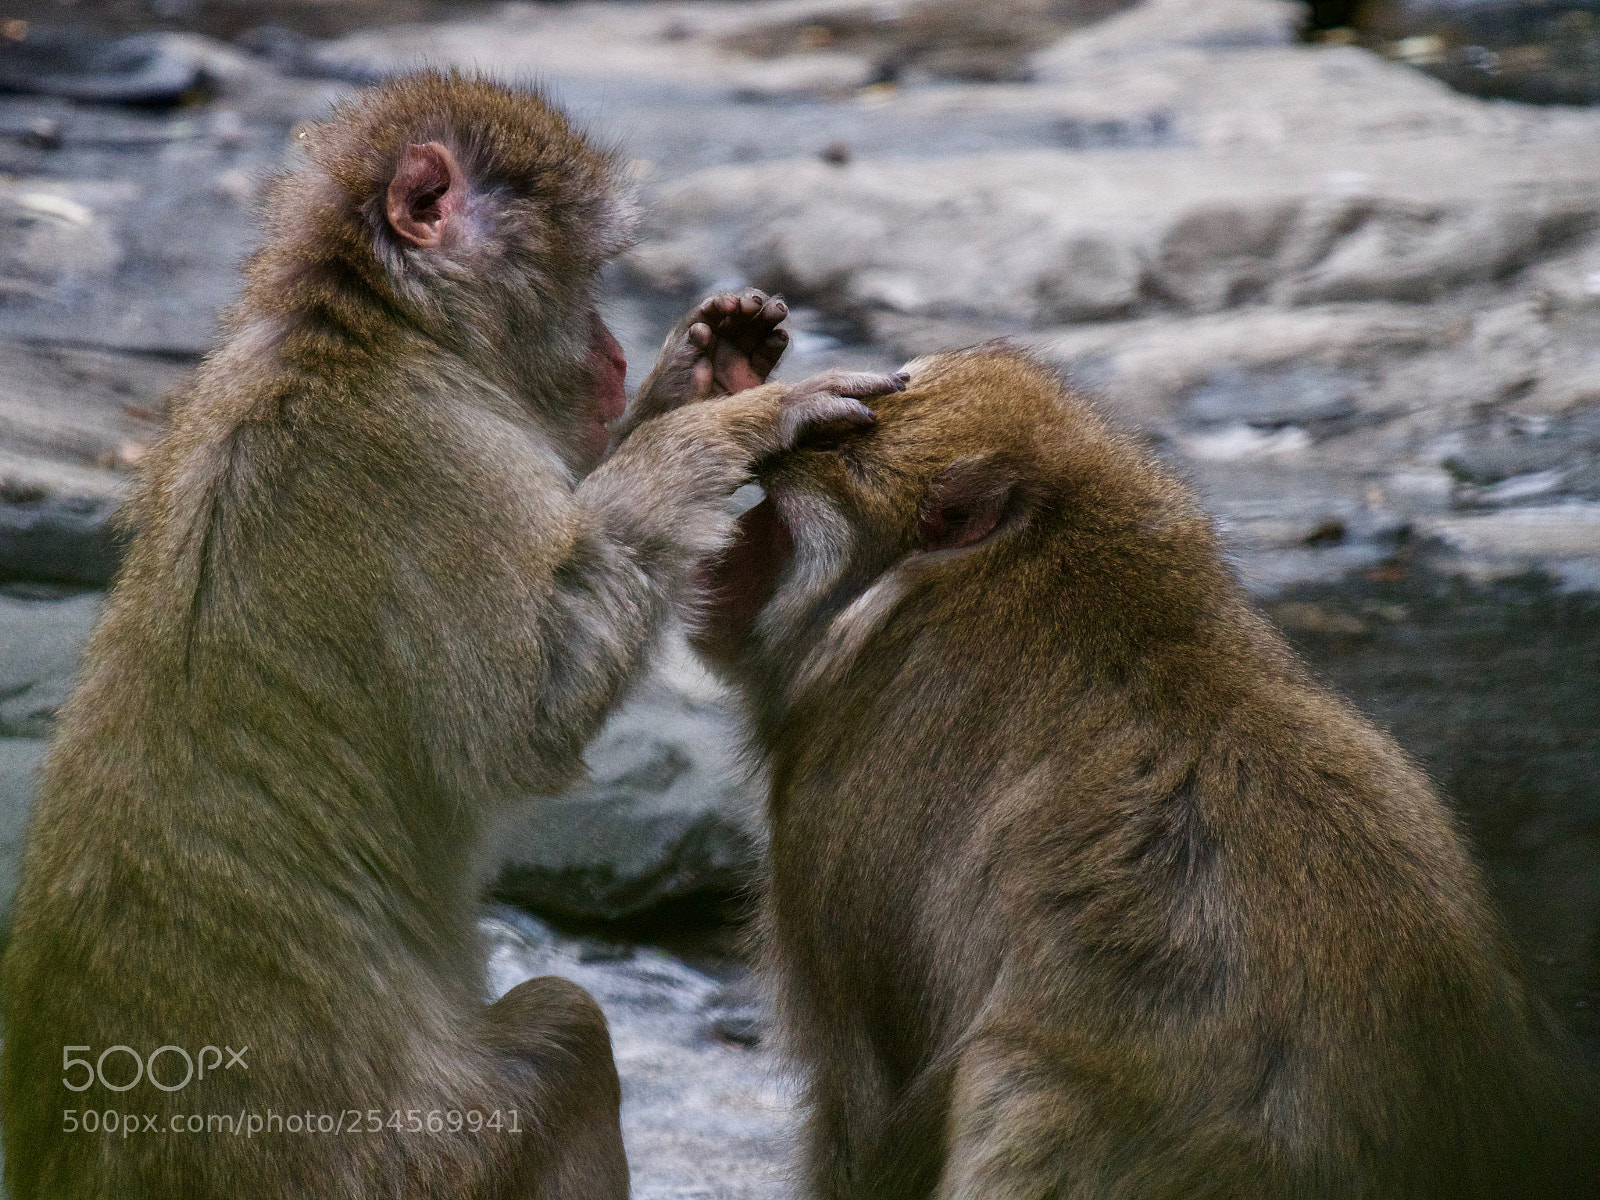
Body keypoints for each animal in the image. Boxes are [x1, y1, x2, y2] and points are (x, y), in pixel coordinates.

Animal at [0, 69, 902, 1200]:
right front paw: (716, 431)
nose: (614, 350)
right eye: (582, 270)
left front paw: (706, 368)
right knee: (564, 1030)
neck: (373, 331)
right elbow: (518, 731)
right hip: (416, 1161)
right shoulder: (435, 461)